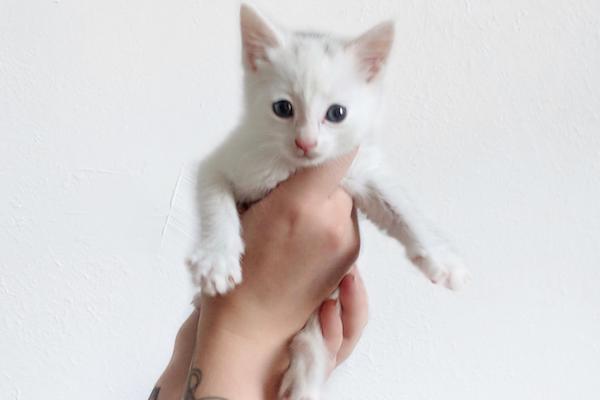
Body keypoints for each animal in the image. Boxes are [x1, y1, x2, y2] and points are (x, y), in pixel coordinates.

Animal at [188, 4, 468, 398]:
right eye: (282, 108)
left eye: (337, 113)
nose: (306, 143)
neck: (294, 167)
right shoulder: (222, 164)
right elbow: (218, 207)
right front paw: (217, 259)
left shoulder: (361, 171)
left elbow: (401, 208)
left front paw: (443, 261)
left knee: (308, 352)